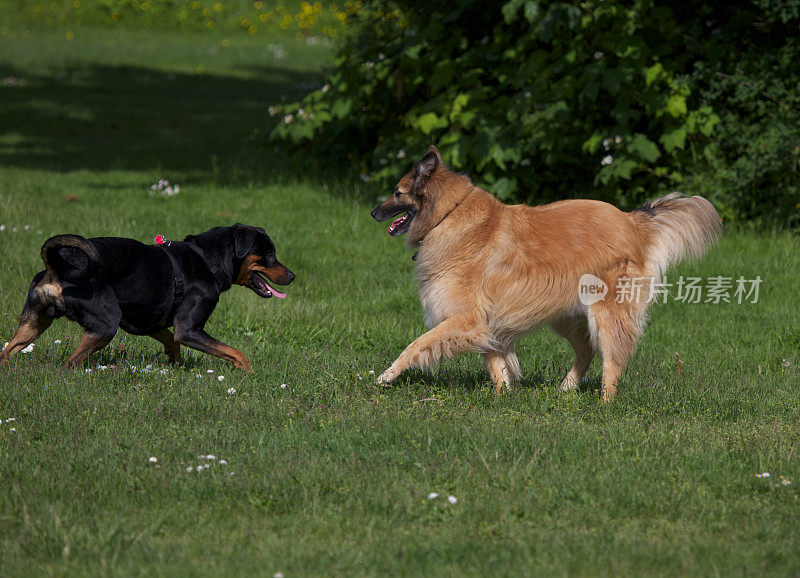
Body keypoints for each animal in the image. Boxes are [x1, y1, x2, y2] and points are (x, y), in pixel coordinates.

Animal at [0, 223, 294, 372]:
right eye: (269, 255)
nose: (291, 276)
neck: (207, 260)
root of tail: (57, 267)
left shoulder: (147, 321)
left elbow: (171, 342)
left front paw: (176, 367)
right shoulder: (189, 329)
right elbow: (236, 352)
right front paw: (249, 374)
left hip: (33, 323)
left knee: (8, 350)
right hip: (105, 324)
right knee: (70, 363)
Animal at [372, 144, 720, 398]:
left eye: (397, 192)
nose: (374, 212)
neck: (449, 214)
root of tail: (631, 221)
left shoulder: (465, 318)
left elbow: (416, 344)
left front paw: (387, 375)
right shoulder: (482, 323)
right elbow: (495, 362)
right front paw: (502, 395)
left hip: (605, 312)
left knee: (612, 359)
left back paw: (605, 402)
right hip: (568, 316)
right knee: (587, 351)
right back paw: (567, 388)